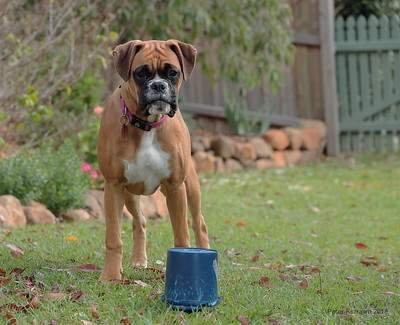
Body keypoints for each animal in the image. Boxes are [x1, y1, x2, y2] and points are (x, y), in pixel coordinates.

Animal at [97, 39, 209, 280]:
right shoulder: (113, 186)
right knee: (140, 222)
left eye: (173, 73)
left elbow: (182, 235)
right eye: (141, 73)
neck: (147, 125)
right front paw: (111, 275)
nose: (158, 86)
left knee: (199, 223)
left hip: (191, 188)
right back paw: (138, 260)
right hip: (129, 194)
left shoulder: (176, 187)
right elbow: (114, 238)